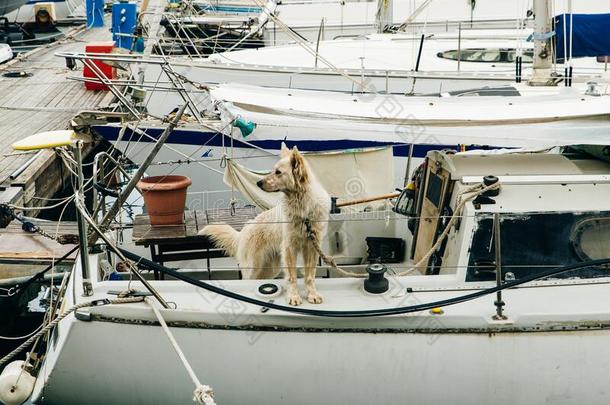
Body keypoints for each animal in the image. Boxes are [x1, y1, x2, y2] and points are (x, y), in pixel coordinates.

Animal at [201, 144, 330, 304]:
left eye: (278, 172)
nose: (258, 183)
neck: (303, 208)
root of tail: (243, 232)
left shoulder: (312, 246)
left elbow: (310, 275)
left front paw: (312, 294)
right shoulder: (289, 247)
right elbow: (292, 277)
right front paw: (294, 296)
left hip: (269, 269)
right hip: (253, 269)